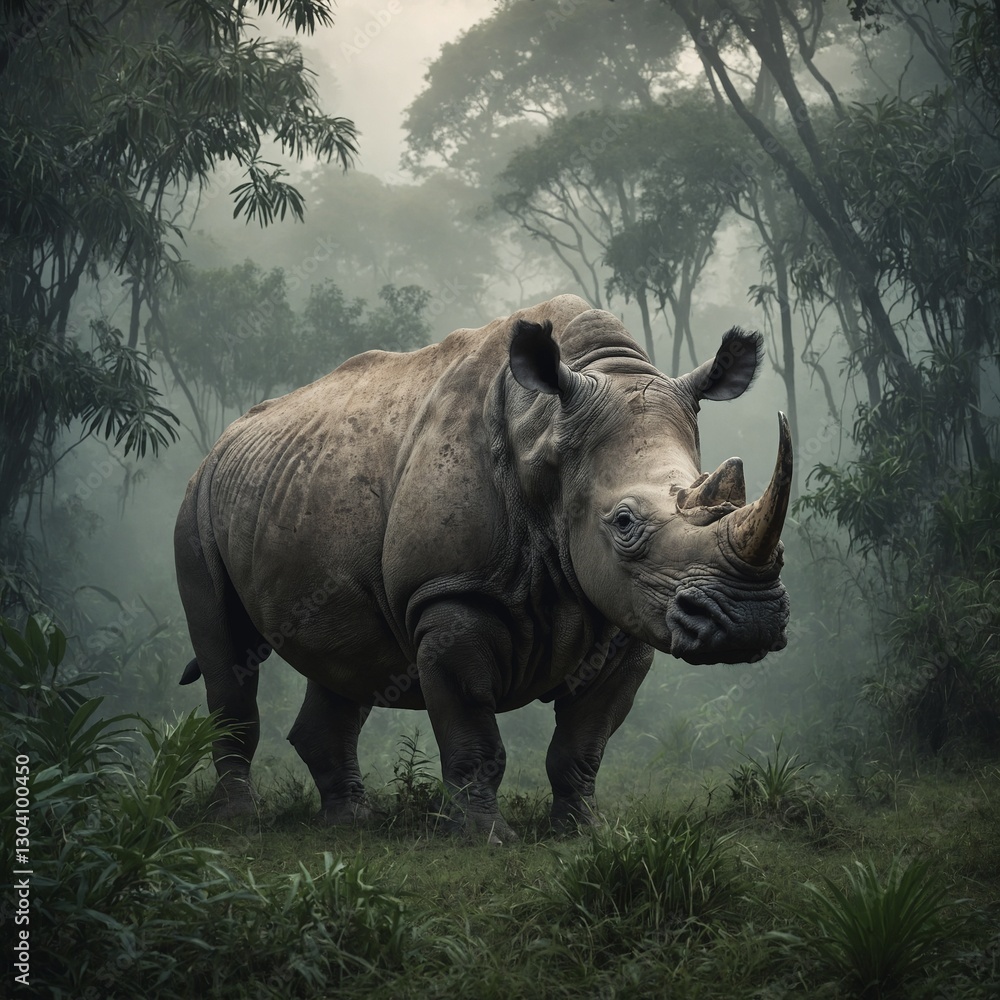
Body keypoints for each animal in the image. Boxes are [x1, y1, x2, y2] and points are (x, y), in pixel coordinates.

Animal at [175, 294, 790, 842]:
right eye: (623, 523)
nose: (750, 619)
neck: (549, 433)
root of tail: (223, 442)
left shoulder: (628, 612)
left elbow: (584, 741)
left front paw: (584, 831)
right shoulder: (448, 593)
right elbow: (473, 728)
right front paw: (483, 838)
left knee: (344, 657)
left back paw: (349, 823)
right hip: (198, 499)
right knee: (228, 654)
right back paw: (238, 822)